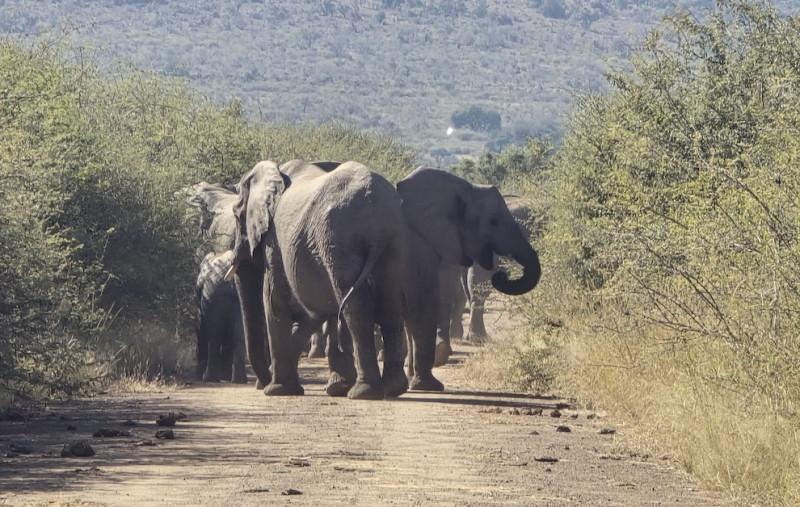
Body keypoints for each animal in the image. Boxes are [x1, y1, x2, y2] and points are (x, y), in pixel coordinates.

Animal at [228, 159, 409, 400]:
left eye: (237, 216)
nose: (261, 384)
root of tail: (376, 204)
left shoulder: (275, 242)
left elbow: (275, 302)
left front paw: (278, 390)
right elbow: (319, 312)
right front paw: (336, 388)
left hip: (338, 238)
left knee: (355, 310)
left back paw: (363, 392)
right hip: (391, 241)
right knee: (389, 307)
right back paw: (392, 388)